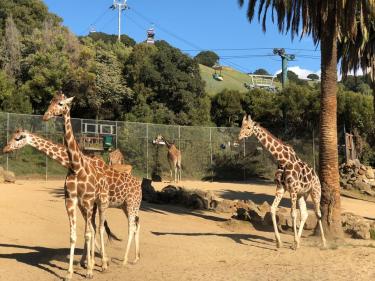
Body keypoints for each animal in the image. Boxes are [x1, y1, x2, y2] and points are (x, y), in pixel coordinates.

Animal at [43, 93, 142, 278]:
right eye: (50, 102)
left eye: (61, 103)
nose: (46, 115)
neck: (76, 167)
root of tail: (139, 184)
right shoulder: (71, 200)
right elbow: (75, 234)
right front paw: (70, 272)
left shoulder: (88, 201)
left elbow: (89, 232)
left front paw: (90, 269)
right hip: (122, 206)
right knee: (127, 225)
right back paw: (130, 258)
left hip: (114, 203)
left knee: (115, 227)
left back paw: (115, 262)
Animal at [241, 114, 326, 249]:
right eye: (241, 125)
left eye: (248, 127)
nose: (239, 136)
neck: (283, 160)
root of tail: (316, 176)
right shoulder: (281, 188)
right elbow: (272, 209)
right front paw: (279, 242)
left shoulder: (293, 189)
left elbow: (293, 214)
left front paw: (294, 242)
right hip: (303, 194)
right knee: (305, 214)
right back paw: (298, 241)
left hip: (315, 192)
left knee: (318, 213)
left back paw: (323, 242)